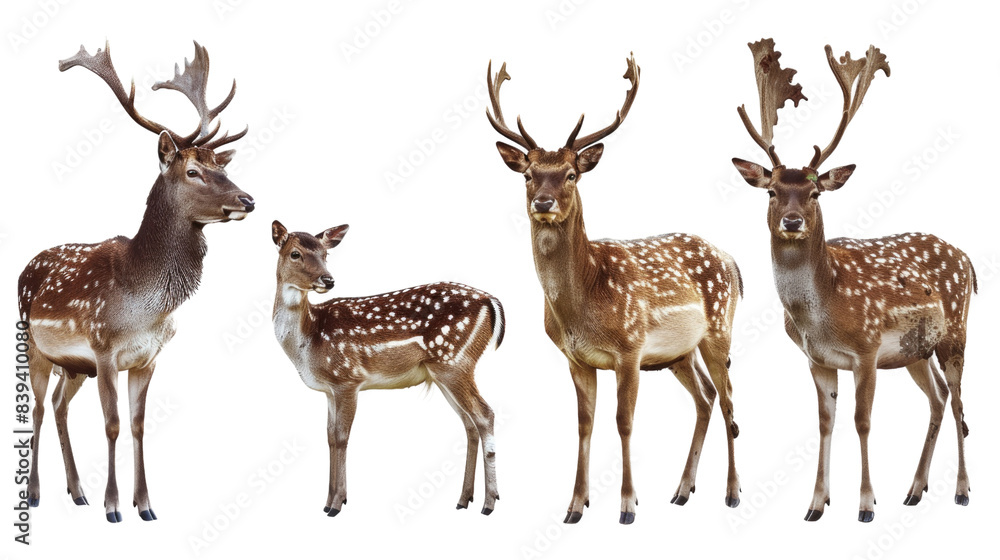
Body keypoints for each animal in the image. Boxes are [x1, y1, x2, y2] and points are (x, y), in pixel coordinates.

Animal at [18, 41, 254, 523]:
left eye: (220, 167)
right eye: (193, 172)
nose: (248, 199)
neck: (147, 303)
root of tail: (24, 266)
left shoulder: (148, 358)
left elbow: (139, 425)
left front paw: (145, 505)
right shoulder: (104, 348)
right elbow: (111, 424)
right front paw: (112, 507)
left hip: (74, 366)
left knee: (59, 406)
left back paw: (76, 491)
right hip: (34, 345)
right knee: (37, 408)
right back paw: (35, 494)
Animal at [270, 221, 504, 517]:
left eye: (325, 255)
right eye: (295, 254)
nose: (328, 280)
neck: (308, 340)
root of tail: (492, 301)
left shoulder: (348, 378)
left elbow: (342, 437)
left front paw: (336, 504)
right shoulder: (330, 389)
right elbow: (330, 437)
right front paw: (328, 501)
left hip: (454, 361)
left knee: (485, 414)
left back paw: (489, 503)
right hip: (444, 371)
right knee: (469, 423)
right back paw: (463, 500)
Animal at [486, 54, 743, 524]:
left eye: (571, 174)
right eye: (528, 175)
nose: (543, 202)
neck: (583, 302)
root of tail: (732, 261)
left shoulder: (630, 347)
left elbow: (624, 422)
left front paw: (627, 505)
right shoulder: (576, 359)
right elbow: (584, 423)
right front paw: (574, 506)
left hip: (719, 330)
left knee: (730, 400)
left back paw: (732, 493)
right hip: (680, 353)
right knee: (706, 397)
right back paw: (682, 491)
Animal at [731, 39, 976, 523]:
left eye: (814, 192)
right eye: (771, 191)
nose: (791, 221)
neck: (821, 311)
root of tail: (968, 259)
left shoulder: (866, 348)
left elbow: (863, 422)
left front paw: (865, 504)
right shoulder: (818, 359)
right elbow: (825, 422)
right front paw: (816, 504)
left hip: (956, 332)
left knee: (959, 400)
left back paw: (961, 491)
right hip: (915, 351)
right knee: (938, 399)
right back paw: (914, 490)